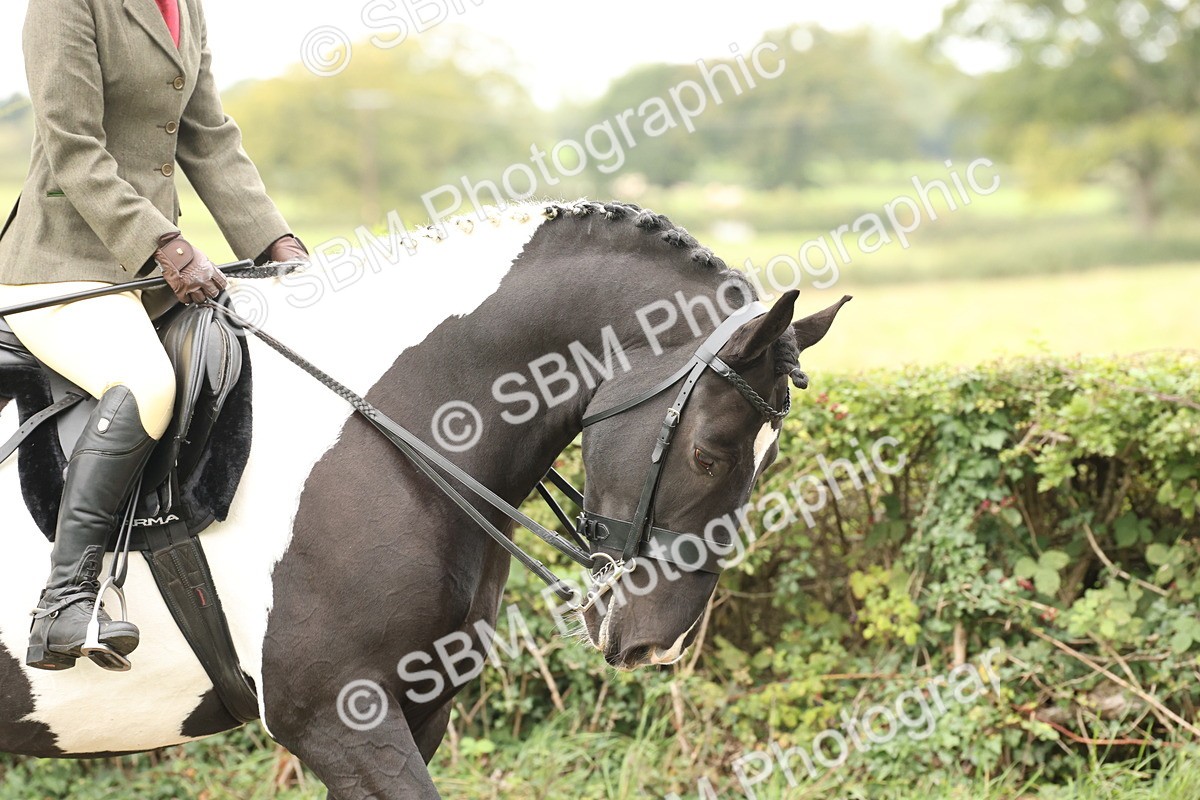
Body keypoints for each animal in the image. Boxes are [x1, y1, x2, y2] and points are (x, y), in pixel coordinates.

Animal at [0, 200, 848, 798]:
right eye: (710, 452)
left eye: (768, 460)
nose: (659, 646)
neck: (393, 418)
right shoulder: (336, 715)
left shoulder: (420, 705)